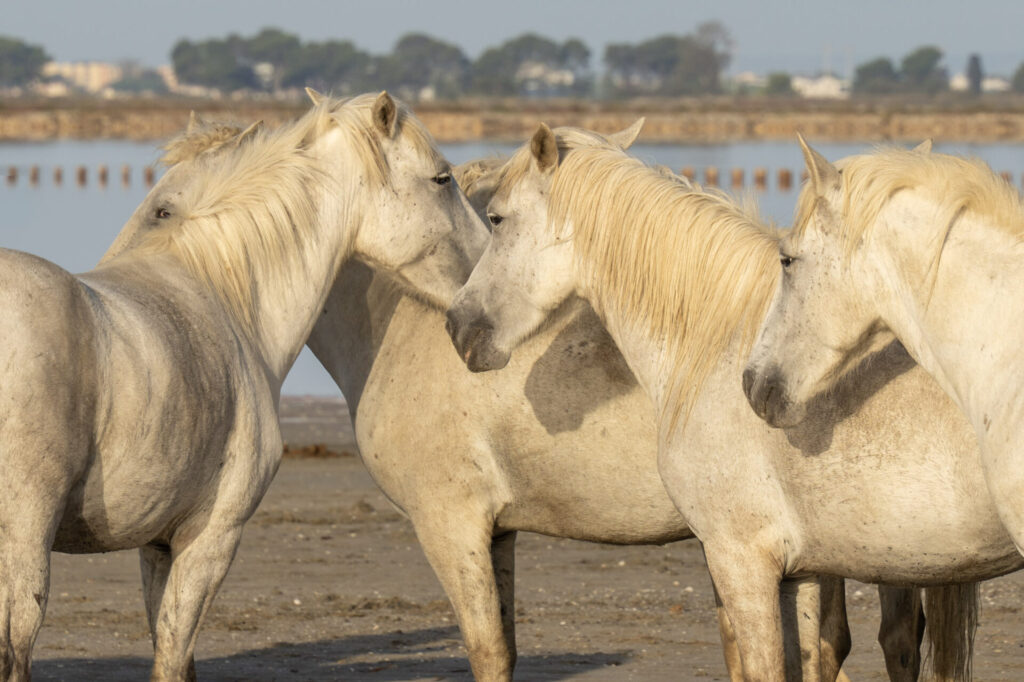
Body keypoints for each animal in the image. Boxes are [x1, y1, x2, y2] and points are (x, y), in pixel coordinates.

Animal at [0, 90, 486, 681]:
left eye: (161, 209)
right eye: (442, 178)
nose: (485, 265)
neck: (226, 297)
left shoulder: (158, 543)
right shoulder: (211, 537)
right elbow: (173, 651)